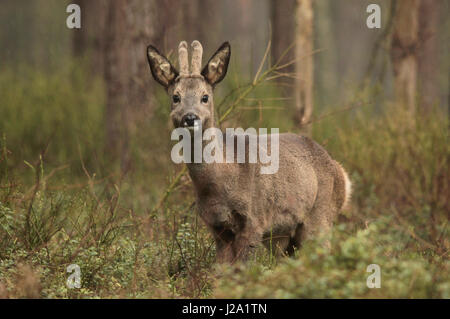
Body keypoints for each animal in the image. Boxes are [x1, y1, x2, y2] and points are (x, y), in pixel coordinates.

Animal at [148, 41, 352, 264]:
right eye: (176, 97)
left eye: (205, 97)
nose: (190, 117)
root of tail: (342, 173)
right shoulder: (217, 227)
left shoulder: (254, 219)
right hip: (283, 235)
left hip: (320, 216)